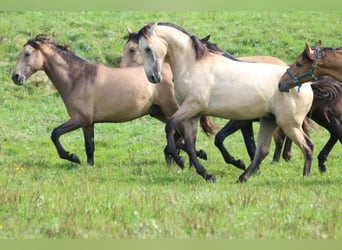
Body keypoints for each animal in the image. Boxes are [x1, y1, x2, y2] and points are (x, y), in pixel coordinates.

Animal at [12, 34, 215, 165]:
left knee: (181, 133)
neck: (78, 78)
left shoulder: (80, 119)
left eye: (27, 54)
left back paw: (186, 158)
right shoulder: (88, 123)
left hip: (171, 109)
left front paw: (71, 157)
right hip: (158, 112)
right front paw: (88, 165)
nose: (15, 77)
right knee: (180, 134)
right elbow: (89, 147)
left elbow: (55, 134)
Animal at [136, 22, 312, 183]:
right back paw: (243, 177)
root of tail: (306, 85)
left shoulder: (192, 107)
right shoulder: (193, 115)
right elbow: (190, 145)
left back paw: (305, 176)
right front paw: (207, 175)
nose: (153, 77)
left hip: (289, 124)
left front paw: (180, 161)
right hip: (269, 120)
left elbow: (170, 126)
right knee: (262, 151)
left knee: (307, 146)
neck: (193, 66)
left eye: (148, 49)